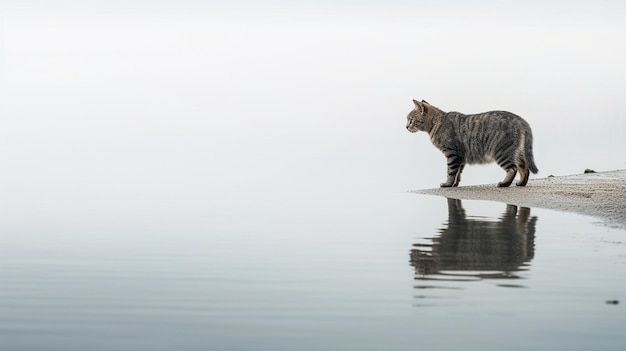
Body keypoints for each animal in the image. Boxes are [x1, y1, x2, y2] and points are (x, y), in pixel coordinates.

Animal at [404, 99, 536, 187]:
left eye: (411, 120)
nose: (406, 127)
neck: (436, 122)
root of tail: (521, 120)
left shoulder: (451, 153)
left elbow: (450, 171)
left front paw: (447, 184)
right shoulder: (460, 156)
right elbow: (458, 172)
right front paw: (455, 184)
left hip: (501, 152)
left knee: (513, 169)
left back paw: (504, 183)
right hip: (516, 151)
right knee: (524, 167)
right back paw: (521, 183)